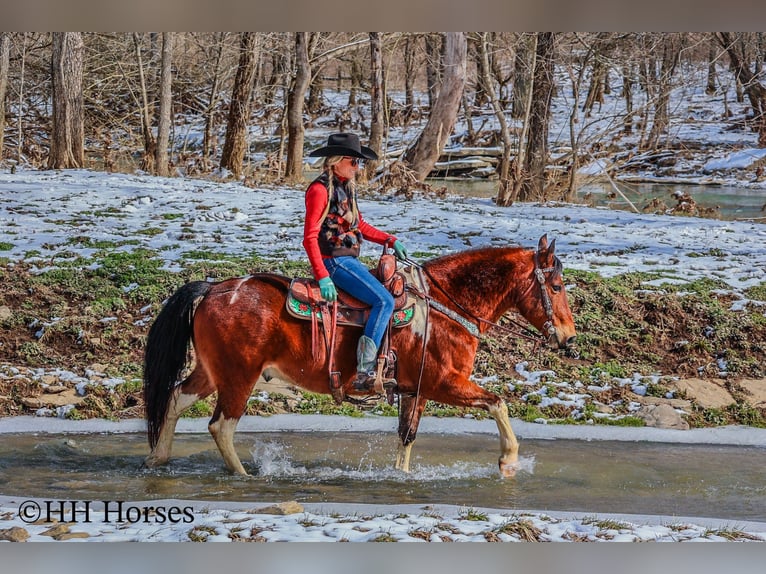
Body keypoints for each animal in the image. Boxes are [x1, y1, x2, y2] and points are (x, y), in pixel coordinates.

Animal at [142, 234, 576, 477]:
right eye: (555, 286)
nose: (569, 339)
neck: (443, 308)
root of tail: (213, 289)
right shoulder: (444, 384)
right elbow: (498, 403)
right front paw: (508, 461)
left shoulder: (415, 390)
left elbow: (407, 437)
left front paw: (400, 476)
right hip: (238, 377)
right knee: (221, 426)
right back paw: (244, 476)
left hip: (211, 372)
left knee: (176, 398)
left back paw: (158, 459)